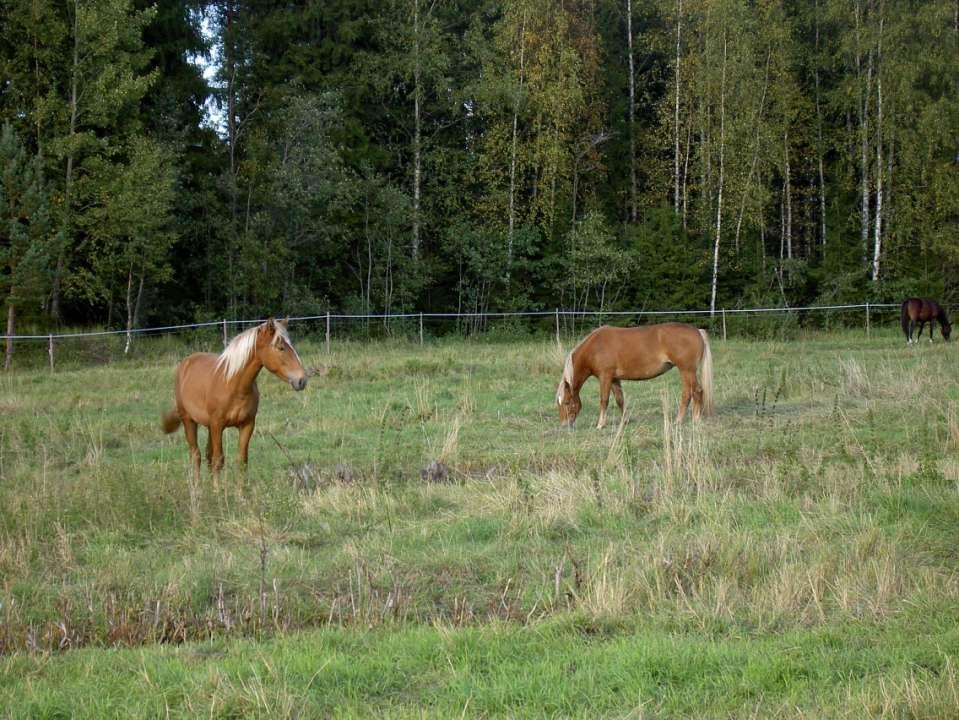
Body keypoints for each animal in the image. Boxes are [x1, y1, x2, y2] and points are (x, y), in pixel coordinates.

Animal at [159, 316, 306, 476]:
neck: (233, 385)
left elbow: (241, 462)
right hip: (189, 421)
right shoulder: (217, 425)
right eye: (280, 348)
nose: (301, 380)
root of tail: (186, 362)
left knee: (207, 455)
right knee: (196, 456)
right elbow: (218, 461)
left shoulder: (247, 425)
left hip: (209, 427)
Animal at [556, 324, 712, 428]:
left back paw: (686, 420)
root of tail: (697, 331)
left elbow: (604, 400)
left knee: (693, 392)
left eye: (567, 403)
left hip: (686, 370)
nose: (564, 425)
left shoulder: (605, 377)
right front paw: (624, 421)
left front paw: (600, 425)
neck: (595, 347)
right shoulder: (614, 379)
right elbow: (620, 400)